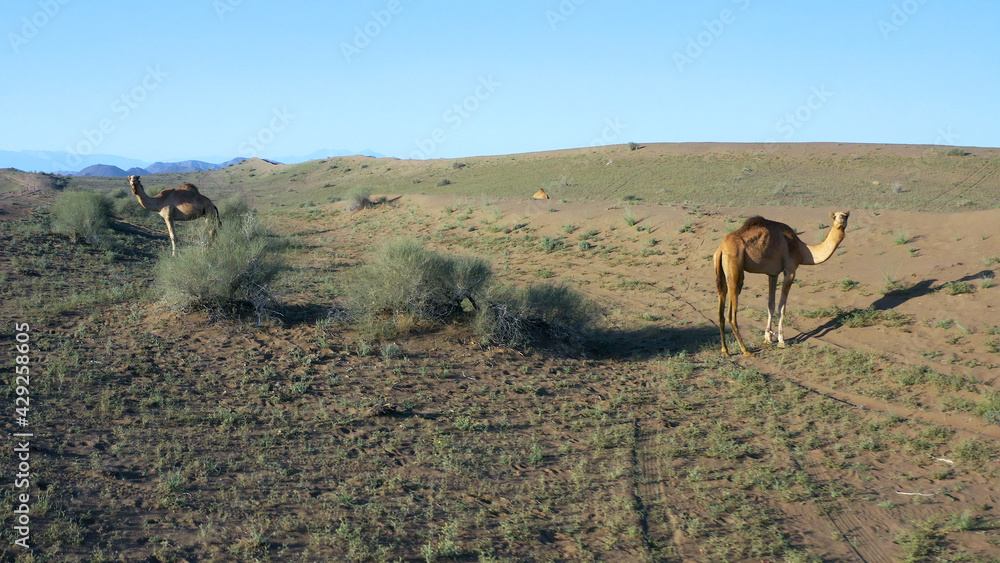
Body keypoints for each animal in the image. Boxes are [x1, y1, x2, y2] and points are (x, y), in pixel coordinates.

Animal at [713, 211, 850, 356]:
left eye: (845, 215)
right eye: (835, 216)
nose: (841, 220)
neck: (802, 250)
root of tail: (721, 248)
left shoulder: (772, 274)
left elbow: (771, 304)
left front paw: (768, 338)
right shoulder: (790, 270)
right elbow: (782, 306)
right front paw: (781, 340)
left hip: (721, 273)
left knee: (721, 310)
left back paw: (725, 350)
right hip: (735, 271)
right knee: (731, 315)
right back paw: (745, 350)